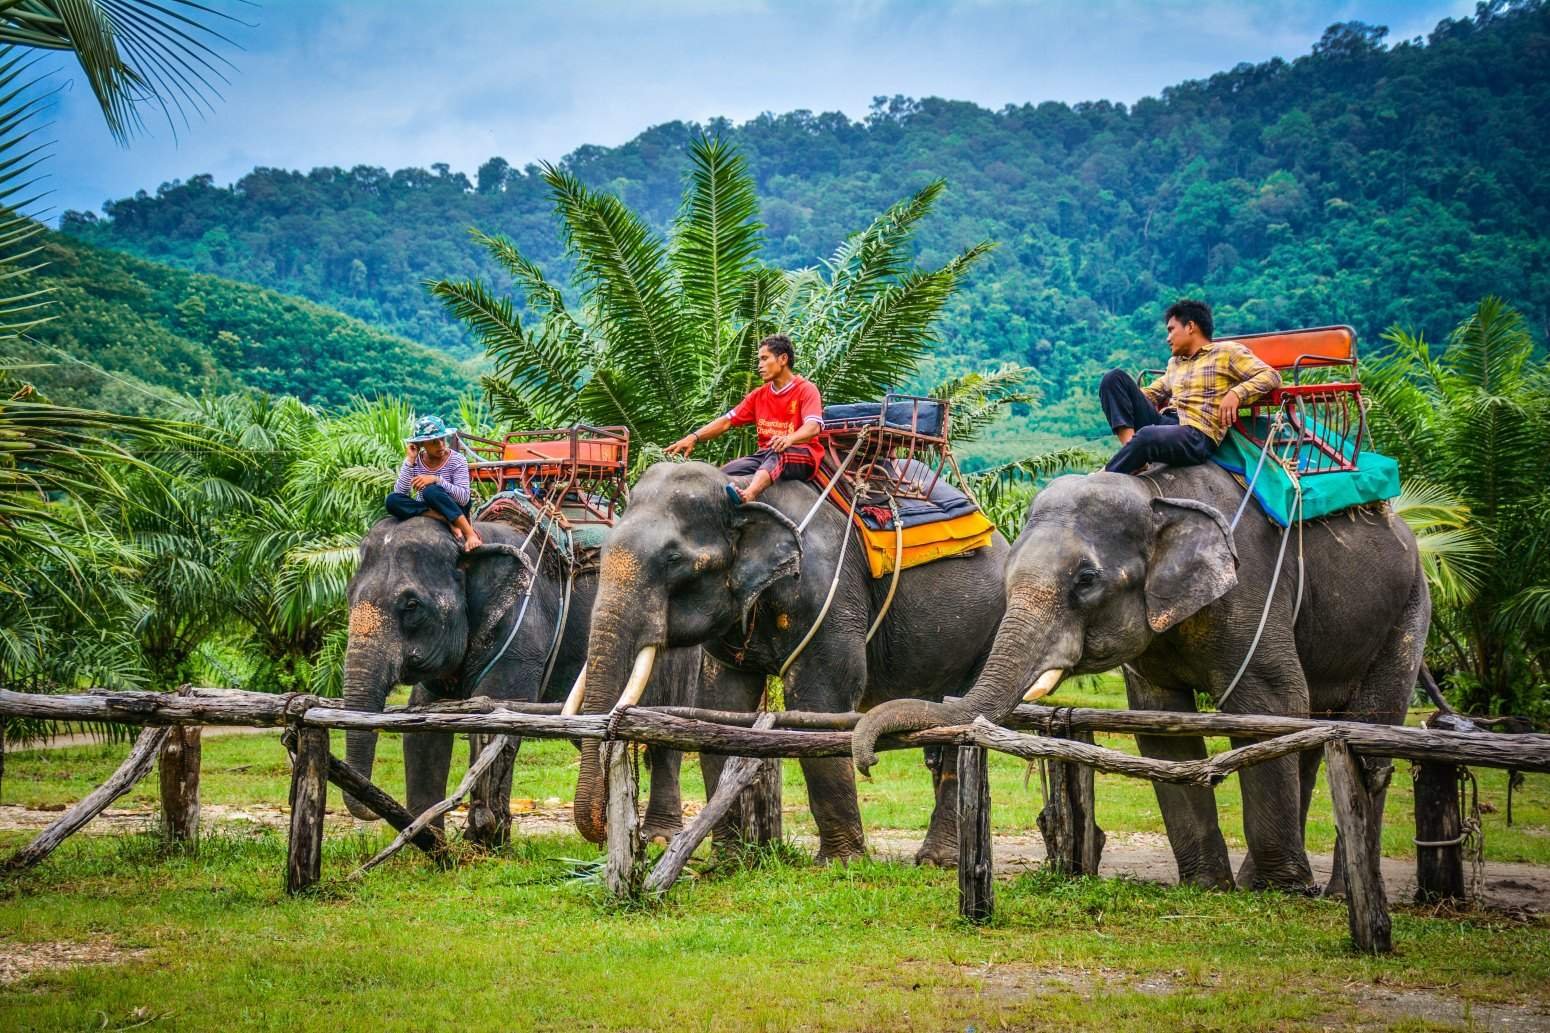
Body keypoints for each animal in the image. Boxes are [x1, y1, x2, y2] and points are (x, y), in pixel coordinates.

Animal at [345, 511, 697, 843]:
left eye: (412, 605)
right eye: (348, 595)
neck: (474, 538)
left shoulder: (524, 634)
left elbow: (501, 716)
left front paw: (487, 841)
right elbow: (423, 731)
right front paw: (430, 843)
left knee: (666, 737)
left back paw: (659, 836)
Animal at [567, 459, 1004, 862]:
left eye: (674, 559)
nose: (623, 836)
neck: (740, 491)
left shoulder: (826, 595)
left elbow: (817, 706)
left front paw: (841, 864)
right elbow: (720, 709)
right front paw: (729, 860)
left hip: (988, 629)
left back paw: (936, 860)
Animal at [855, 462, 1432, 887]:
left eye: (1086, 580)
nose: (867, 763)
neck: (1156, 495)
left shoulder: (1251, 588)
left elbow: (1268, 704)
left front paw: (1278, 890)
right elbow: (1161, 725)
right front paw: (1208, 887)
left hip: (1409, 606)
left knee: (1368, 734)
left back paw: (1328, 890)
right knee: (1316, 737)